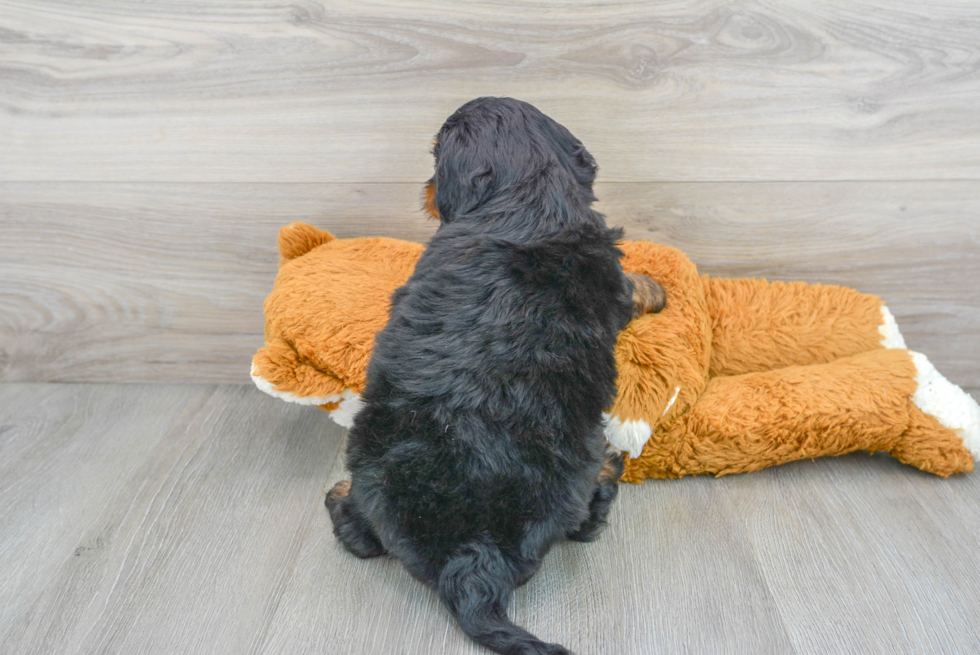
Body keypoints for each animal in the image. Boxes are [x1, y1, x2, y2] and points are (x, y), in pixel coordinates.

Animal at [330, 98, 668, 655]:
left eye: (435, 156)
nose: (423, 188)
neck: (531, 197)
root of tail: (473, 556)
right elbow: (629, 284)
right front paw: (656, 287)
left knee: (357, 533)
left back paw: (338, 494)